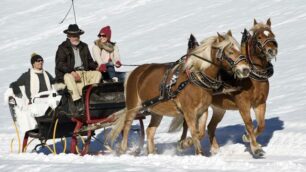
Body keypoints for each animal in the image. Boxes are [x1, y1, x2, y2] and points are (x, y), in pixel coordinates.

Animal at [109, 30, 250, 155]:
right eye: (230, 51)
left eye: (239, 49)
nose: (245, 69)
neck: (196, 79)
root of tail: (134, 72)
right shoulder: (189, 112)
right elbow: (194, 132)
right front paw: (197, 152)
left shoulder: (202, 110)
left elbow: (201, 132)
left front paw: (184, 143)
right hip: (133, 106)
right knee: (127, 126)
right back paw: (123, 150)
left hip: (156, 111)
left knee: (150, 131)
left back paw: (152, 153)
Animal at [170, 18, 278, 157]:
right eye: (259, 37)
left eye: (272, 35)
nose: (272, 50)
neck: (253, 78)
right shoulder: (243, 105)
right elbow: (249, 123)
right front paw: (255, 148)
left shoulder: (260, 103)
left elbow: (261, 125)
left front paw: (247, 137)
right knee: (187, 126)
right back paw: (183, 143)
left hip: (219, 109)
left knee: (210, 127)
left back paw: (215, 149)